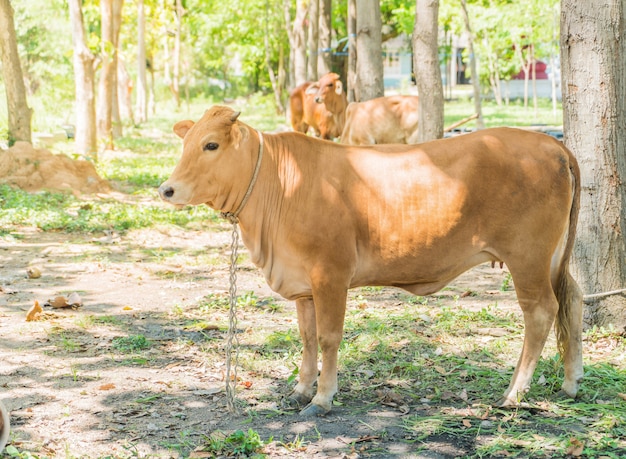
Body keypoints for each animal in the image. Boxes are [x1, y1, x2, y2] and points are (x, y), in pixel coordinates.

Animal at [158, 106, 584, 418]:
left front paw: (322, 398)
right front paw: (300, 390)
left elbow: (329, 337)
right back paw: (571, 381)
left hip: (527, 257)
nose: (167, 189)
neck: (280, 184)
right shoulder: (303, 284)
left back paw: (514, 393)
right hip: (553, 258)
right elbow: (307, 337)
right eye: (185, 143)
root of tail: (551, 143)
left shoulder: (330, 274)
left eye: (211, 145)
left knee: (541, 312)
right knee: (573, 299)